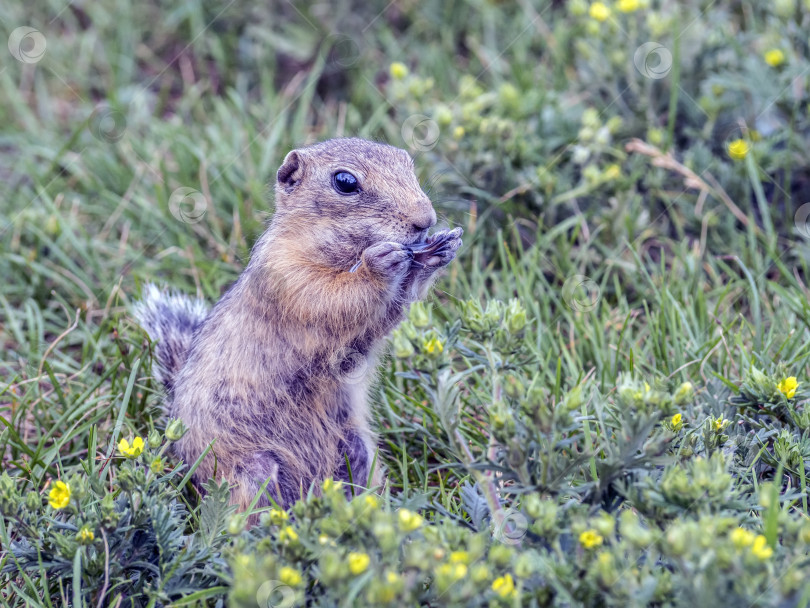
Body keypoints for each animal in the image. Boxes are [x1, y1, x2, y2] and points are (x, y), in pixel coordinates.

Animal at [133, 137, 460, 512]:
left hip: (356, 448)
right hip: (252, 471)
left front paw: (439, 251)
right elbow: (332, 297)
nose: (425, 219)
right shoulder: (288, 275)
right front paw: (378, 264)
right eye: (345, 182)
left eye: (407, 162)